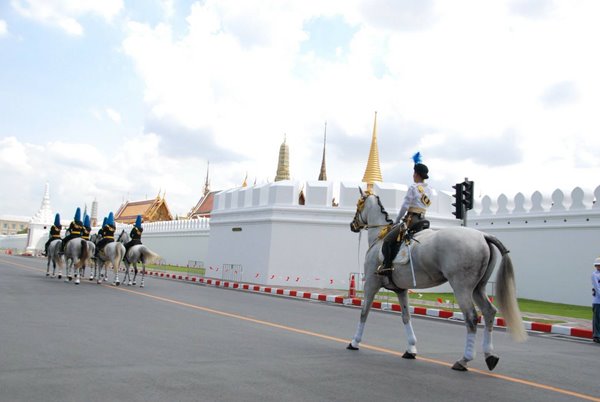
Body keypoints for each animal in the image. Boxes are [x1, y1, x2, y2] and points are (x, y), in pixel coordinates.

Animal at [346, 190, 524, 372]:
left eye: (358, 205)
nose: (353, 225)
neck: (380, 238)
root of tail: (483, 235)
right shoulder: (401, 290)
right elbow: (406, 316)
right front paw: (411, 349)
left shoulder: (371, 284)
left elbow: (364, 313)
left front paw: (355, 342)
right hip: (478, 288)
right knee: (489, 312)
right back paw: (489, 355)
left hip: (461, 287)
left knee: (471, 317)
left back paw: (464, 359)